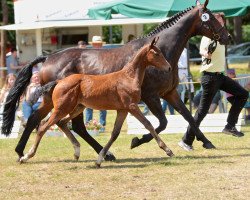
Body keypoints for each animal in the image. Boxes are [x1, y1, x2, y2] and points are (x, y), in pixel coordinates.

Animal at [19, 38, 173, 167]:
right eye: (157, 53)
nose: (169, 68)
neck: (128, 77)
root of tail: (59, 81)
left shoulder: (122, 109)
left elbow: (115, 133)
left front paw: (99, 159)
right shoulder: (132, 106)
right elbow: (148, 124)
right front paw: (167, 150)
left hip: (77, 107)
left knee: (62, 123)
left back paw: (76, 152)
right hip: (62, 108)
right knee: (43, 127)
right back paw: (26, 156)